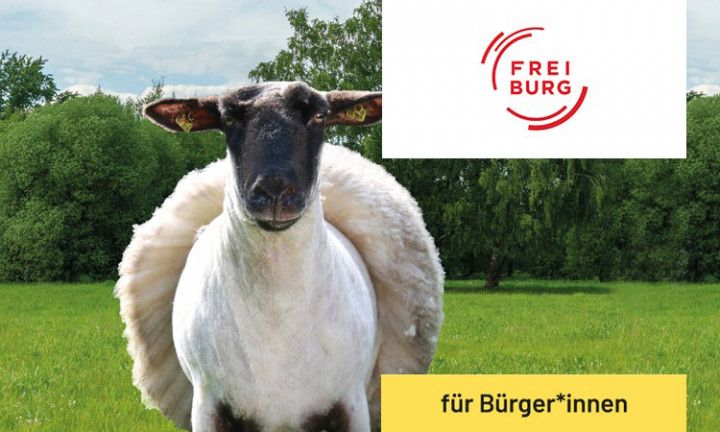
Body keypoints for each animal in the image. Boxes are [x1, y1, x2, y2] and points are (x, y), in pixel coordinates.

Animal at [115, 81, 444, 432]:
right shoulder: (208, 407)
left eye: (320, 116)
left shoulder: (352, 403)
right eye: (228, 118)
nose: (274, 191)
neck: (277, 321)